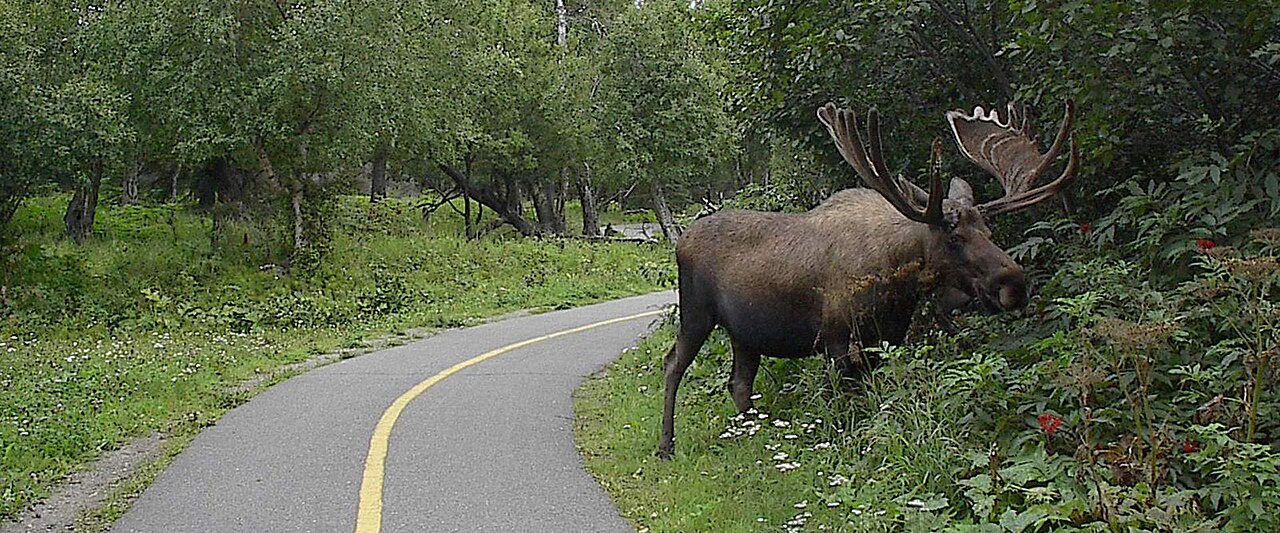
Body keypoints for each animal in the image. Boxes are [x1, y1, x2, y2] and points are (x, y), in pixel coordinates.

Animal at [656, 99, 1078, 458]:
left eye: (989, 231)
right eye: (954, 237)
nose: (1014, 285)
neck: (897, 286)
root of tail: (681, 240)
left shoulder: (887, 338)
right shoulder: (835, 340)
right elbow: (843, 408)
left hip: (744, 333)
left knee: (740, 383)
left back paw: (750, 434)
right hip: (696, 312)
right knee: (673, 363)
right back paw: (665, 447)